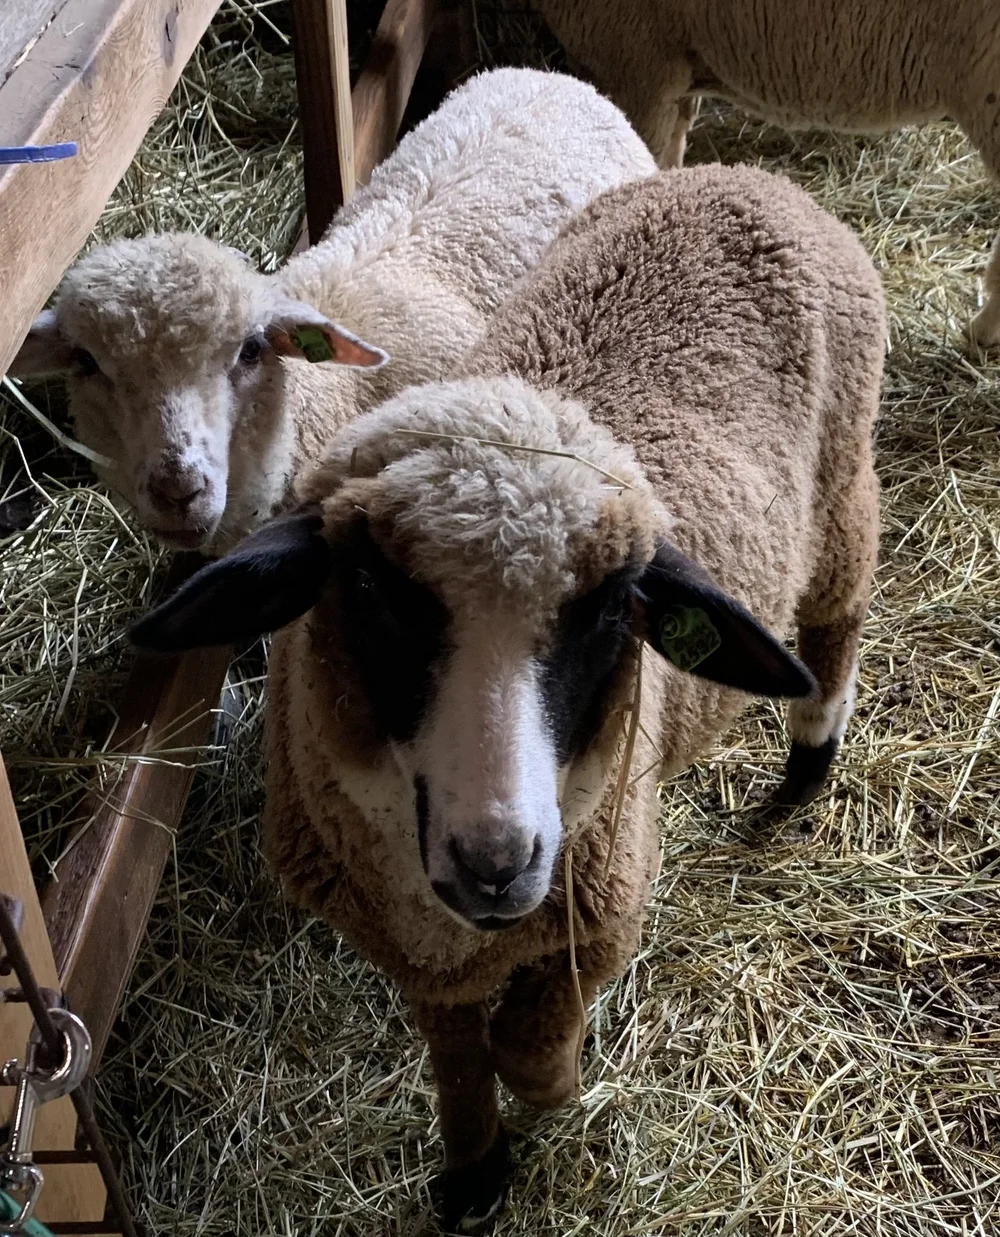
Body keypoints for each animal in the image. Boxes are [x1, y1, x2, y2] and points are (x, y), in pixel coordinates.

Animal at [126, 163, 885, 1230]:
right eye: (374, 593)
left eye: (610, 610)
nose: (498, 861)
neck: (458, 926)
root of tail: (745, 178)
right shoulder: (413, 955)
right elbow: (456, 1059)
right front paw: (475, 1171)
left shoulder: (599, 909)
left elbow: (526, 1054)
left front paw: (558, 1089)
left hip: (843, 477)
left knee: (835, 620)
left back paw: (808, 767)